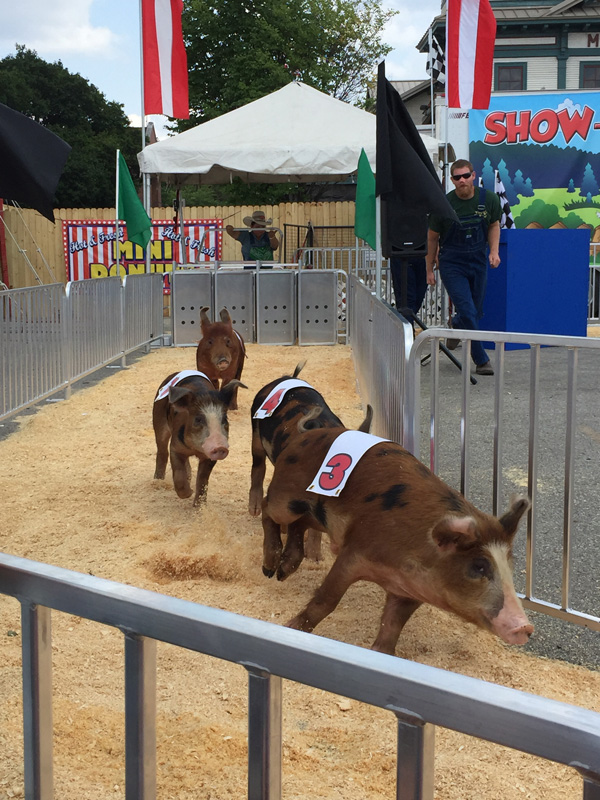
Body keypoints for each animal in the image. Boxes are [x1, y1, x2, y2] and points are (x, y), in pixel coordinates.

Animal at [154, 370, 245, 506]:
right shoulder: (175, 447)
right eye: (198, 419)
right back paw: (158, 480)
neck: (194, 448)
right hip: (158, 419)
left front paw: (199, 506)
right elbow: (178, 473)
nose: (220, 446)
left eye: (224, 419)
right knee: (162, 451)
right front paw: (188, 493)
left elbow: (202, 479)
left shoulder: (209, 457)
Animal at [262, 424, 536, 656]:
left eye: (510, 565)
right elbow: (326, 600)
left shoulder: (409, 593)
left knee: (300, 524)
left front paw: (381, 654)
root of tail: (303, 435)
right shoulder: (354, 552)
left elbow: (391, 627)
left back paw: (283, 573)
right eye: (479, 566)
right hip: (285, 499)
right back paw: (269, 570)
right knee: (268, 509)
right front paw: (291, 628)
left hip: (318, 516)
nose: (525, 627)